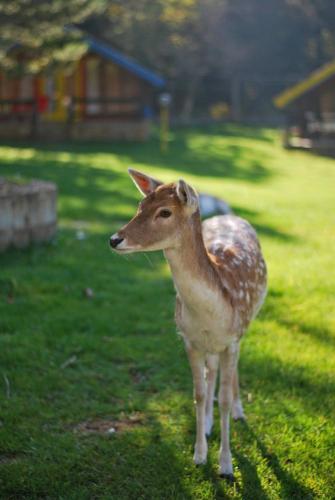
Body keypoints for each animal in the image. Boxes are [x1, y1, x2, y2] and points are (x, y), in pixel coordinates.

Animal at [110, 169, 268, 480]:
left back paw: (239, 412)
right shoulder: (189, 340)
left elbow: (224, 397)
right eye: (139, 205)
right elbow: (198, 393)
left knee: (230, 374)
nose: (114, 239)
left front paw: (226, 466)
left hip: (245, 326)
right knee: (211, 373)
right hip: (210, 345)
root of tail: (228, 215)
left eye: (165, 212)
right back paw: (207, 424)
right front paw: (199, 455)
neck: (211, 312)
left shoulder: (232, 339)